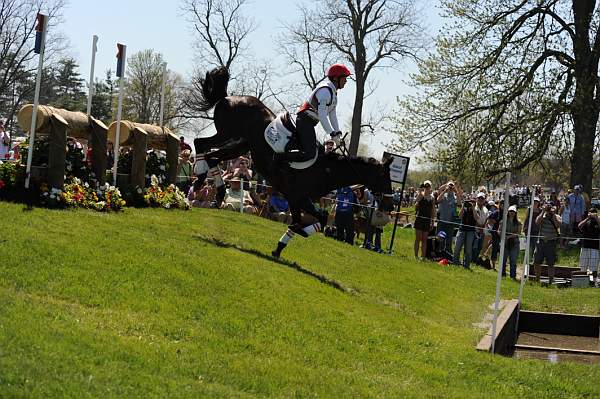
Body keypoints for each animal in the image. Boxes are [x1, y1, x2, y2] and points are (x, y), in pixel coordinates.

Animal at [192, 67, 394, 258]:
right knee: (200, 144)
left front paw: (279, 248)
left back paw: (216, 192)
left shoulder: (299, 198)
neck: (327, 170)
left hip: (240, 145)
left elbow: (313, 219)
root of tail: (228, 98)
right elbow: (307, 221)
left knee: (211, 156)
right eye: (385, 177)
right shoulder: (297, 197)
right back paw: (200, 181)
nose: (390, 207)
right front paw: (297, 235)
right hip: (227, 133)